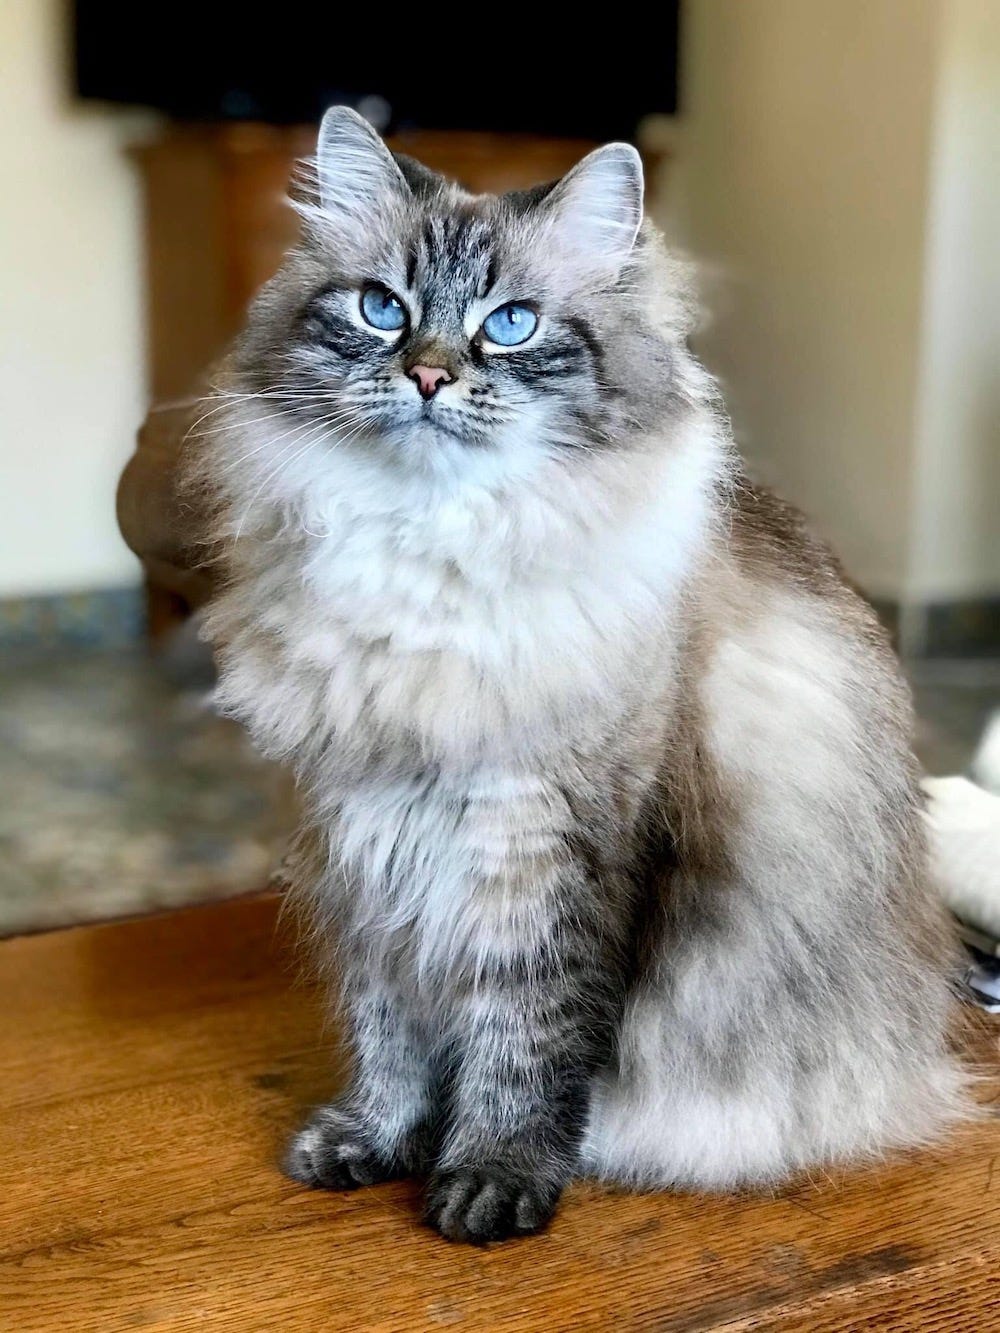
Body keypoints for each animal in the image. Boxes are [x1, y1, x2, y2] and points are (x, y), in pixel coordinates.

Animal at [189, 109, 970, 1242]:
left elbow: (526, 1041)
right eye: (383, 310)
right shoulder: (369, 840)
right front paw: (375, 1141)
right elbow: (391, 1033)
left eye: (510, 325)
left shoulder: (550, 843)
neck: (426, 555)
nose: (428, 375)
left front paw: (490, 1179)